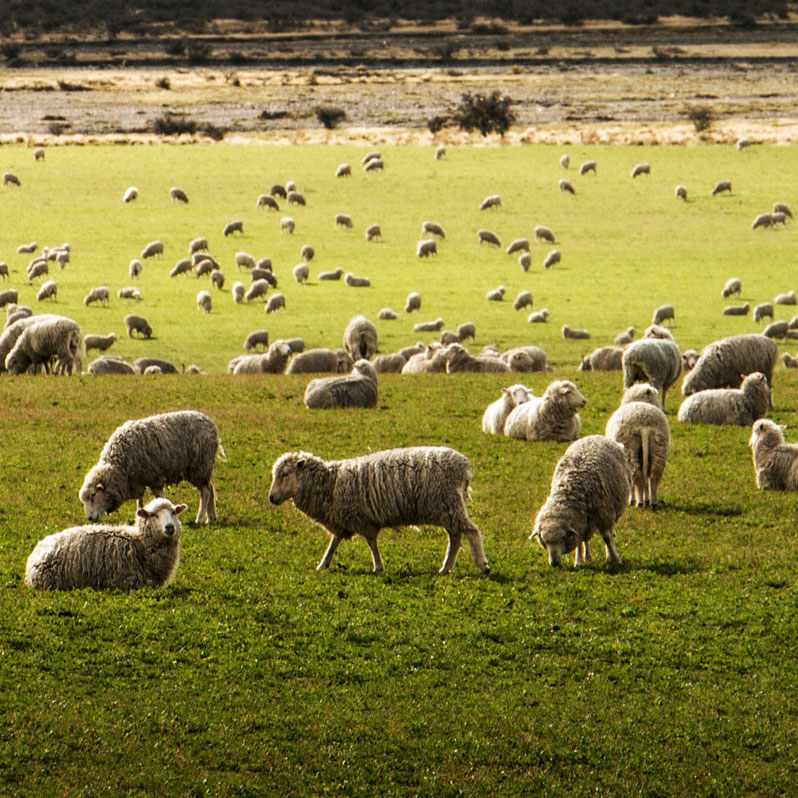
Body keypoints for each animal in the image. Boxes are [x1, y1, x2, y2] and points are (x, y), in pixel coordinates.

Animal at [80, 412, 223, 524]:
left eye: (93, 495)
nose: (90, 518)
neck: (120, 466)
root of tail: (210, 423)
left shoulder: (155, 478)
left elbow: (159, 498)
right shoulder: (138, 480)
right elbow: (140, 500)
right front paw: (140, 515)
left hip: (200, 466)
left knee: (205, 491)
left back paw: (200, 518)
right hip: (202, 468)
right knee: (210, 487)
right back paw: (211, 517)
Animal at [272, 446, 490, 580]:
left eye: (285, 474)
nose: (271, 498)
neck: (329, 484)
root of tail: (463, 466)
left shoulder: (360, 518)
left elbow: (371, 542)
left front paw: (378, 566)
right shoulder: (343, 519)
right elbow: (334, 542)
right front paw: (323, 564)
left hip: (449, 504)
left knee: (471, 532)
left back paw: (482, 565)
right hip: (448, 508)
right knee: (455, 537)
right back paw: (446, 568)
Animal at [532, 438, 632, 568]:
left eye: (563, 537)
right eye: (544, 541)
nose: (555, 564)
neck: (569, 490)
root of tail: (594, 436)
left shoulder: (603, 516)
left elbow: (607, 538)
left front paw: (615, 559)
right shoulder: (579, 522)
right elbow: (579, 540)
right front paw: (579, 561)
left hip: (610, 512)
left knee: (610, 534)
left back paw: (610, 554)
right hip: (588, 520)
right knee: (586, 539)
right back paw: (588, 556)